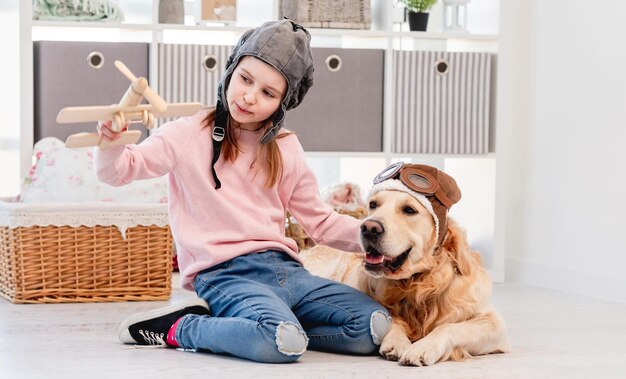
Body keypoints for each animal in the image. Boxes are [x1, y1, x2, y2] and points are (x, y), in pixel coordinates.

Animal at [300, 164, 510, 368]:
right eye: (373, 205)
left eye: (409, 210)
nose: (368, 228)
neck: (417, 283)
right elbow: (389, 317)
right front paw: (397, 342)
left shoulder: (493, 323)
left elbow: (449, 327)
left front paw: (422, 348)